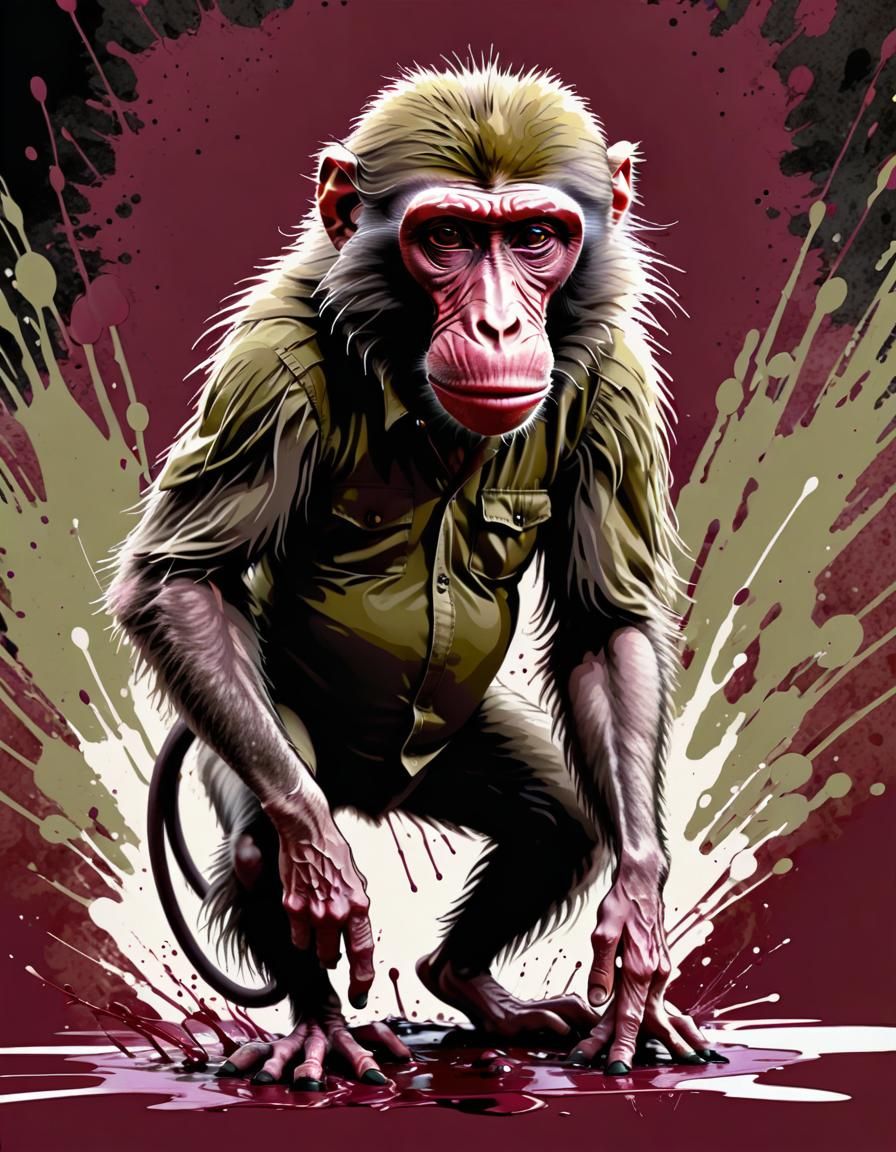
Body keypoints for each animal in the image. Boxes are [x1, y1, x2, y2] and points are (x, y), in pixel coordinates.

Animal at [106, 60, 725, 1089]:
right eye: (446, 239)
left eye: (534, 237)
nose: (499, 321)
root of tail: (372, 789)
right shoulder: (265, 365)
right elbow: (182, 582)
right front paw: (323, 869)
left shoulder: (616, 376)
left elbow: (605, 625)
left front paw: (640, 926)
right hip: (260, 735)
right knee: (258, 840)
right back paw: (322, 1021)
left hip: (450, 752)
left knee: (558, 820)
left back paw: (472, 985)